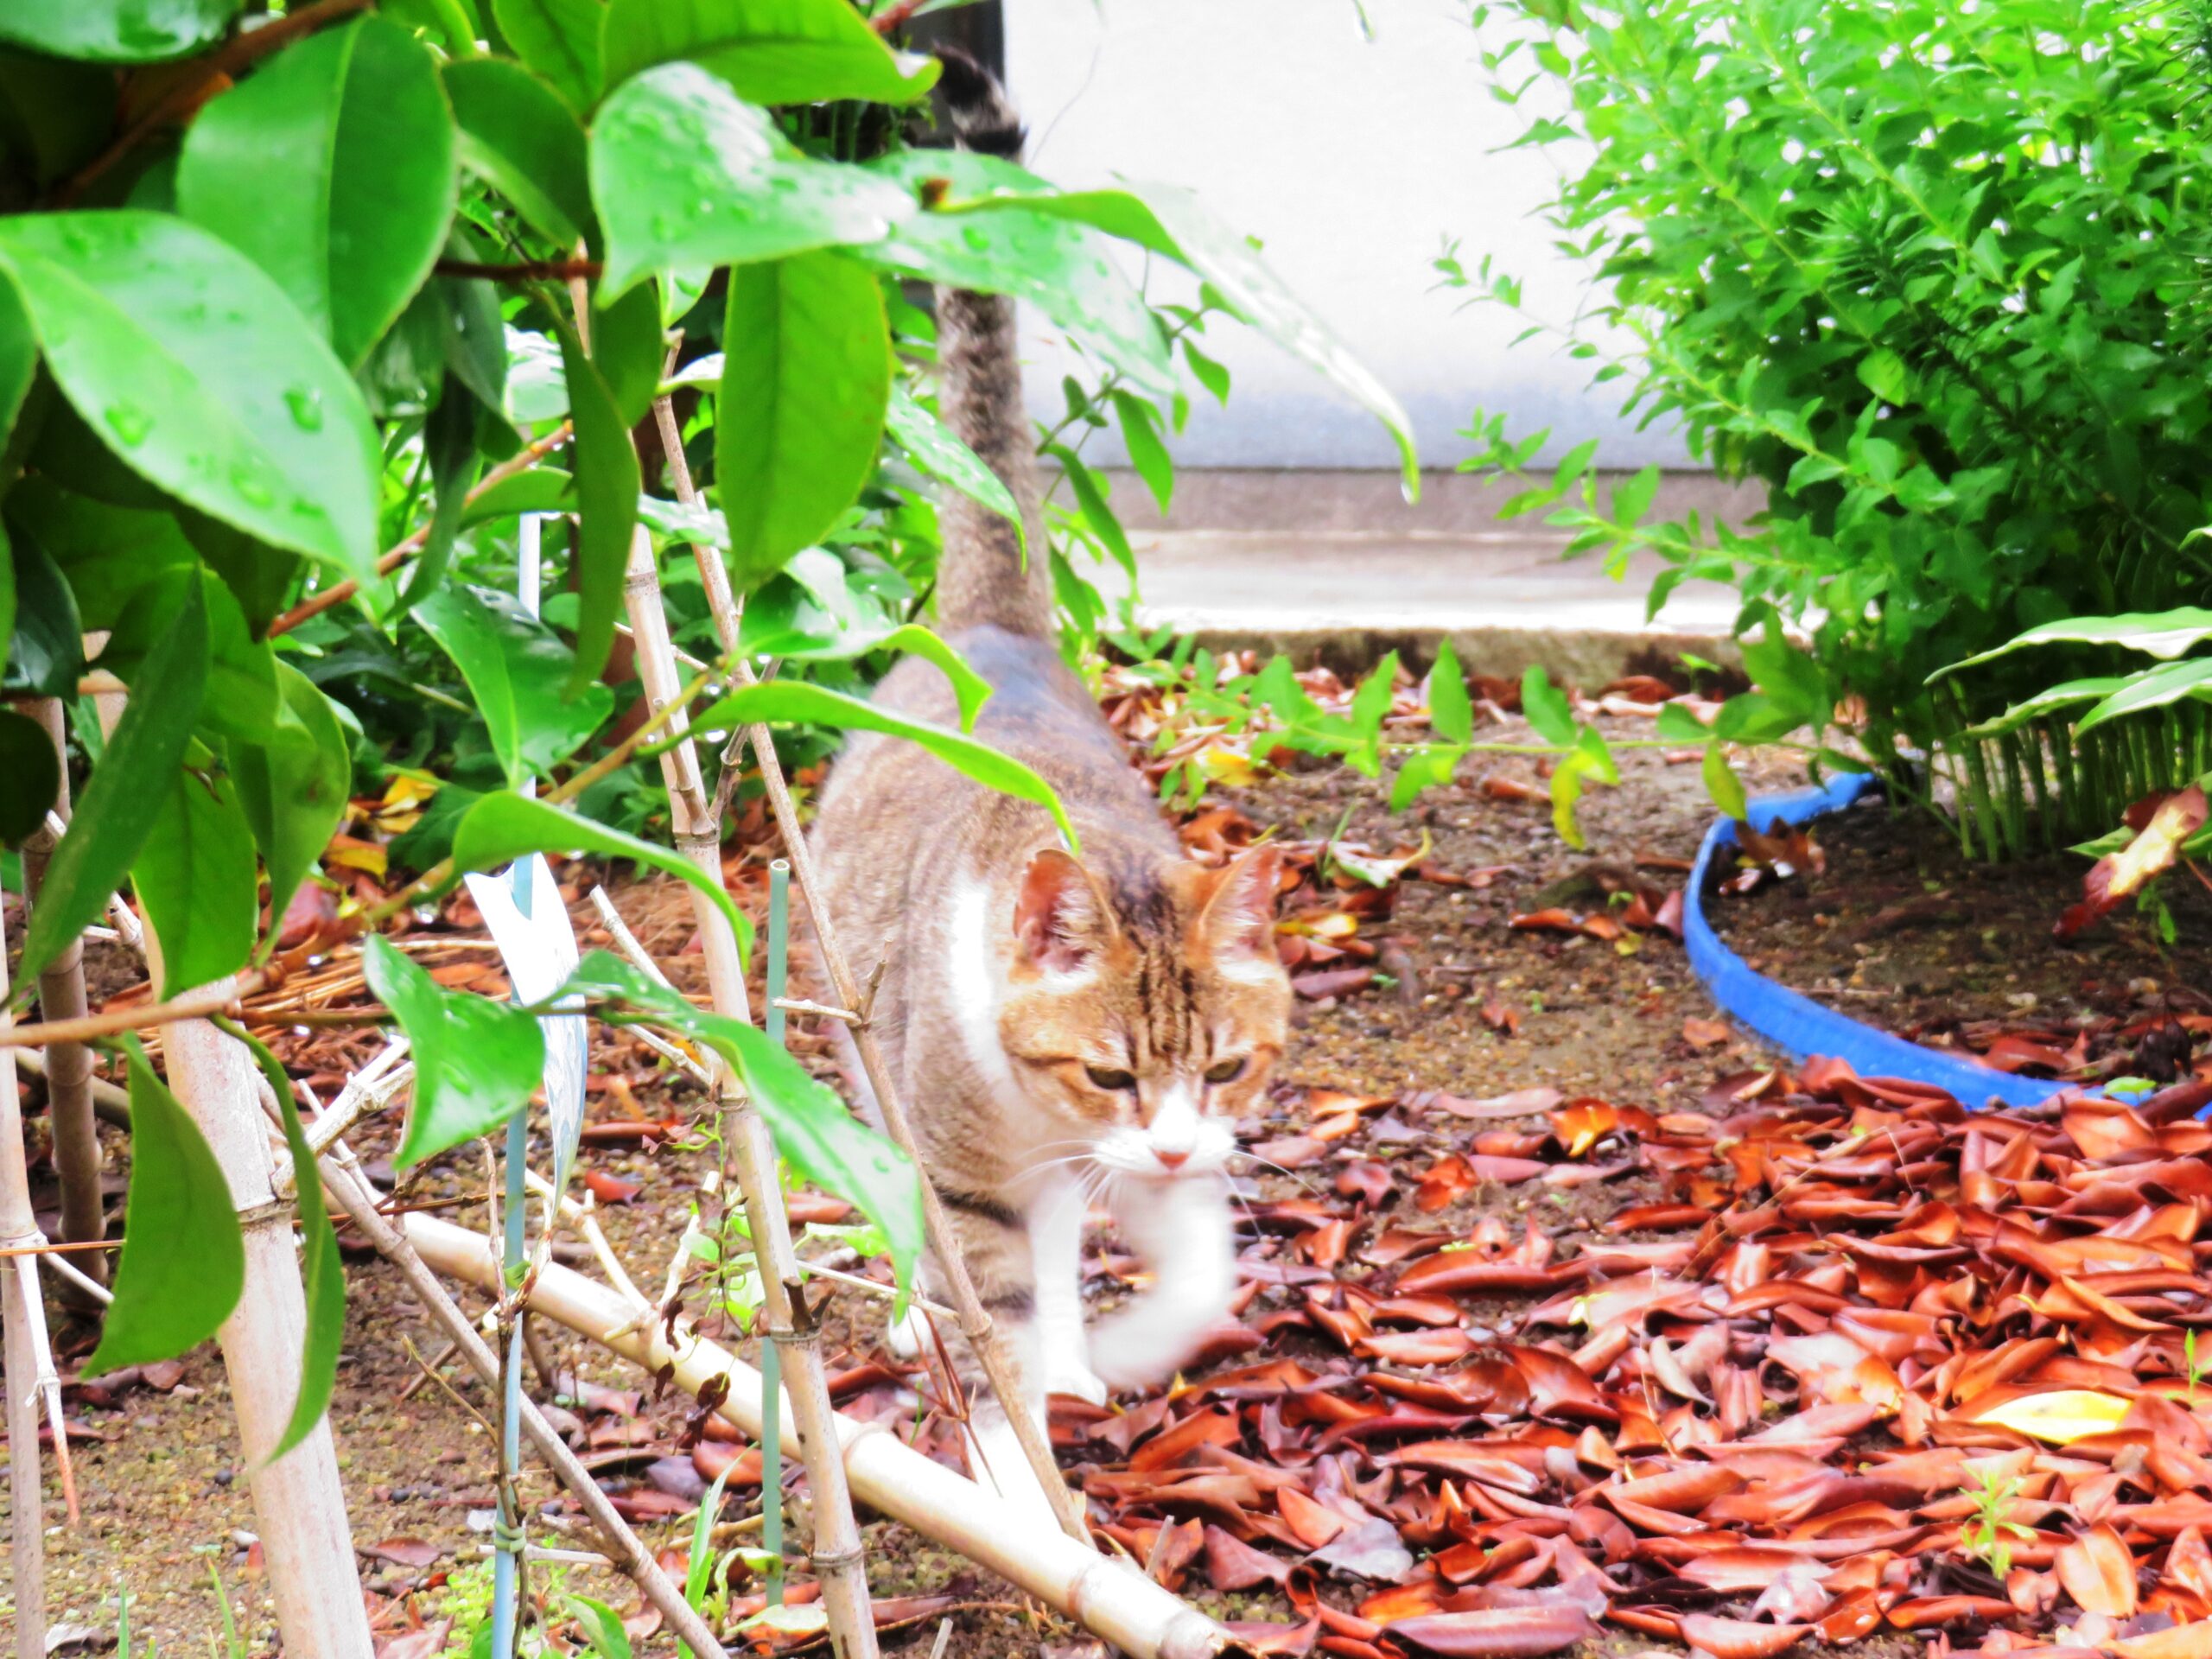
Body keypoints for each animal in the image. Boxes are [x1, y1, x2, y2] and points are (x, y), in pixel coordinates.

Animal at [809, 48, 1292, 1530]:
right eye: (1108, 1067)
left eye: (1230, 1065)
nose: (1180, 1147)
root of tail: (993, 624)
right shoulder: (976, 1174)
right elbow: (994, 1331)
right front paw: (1019, 1498)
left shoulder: (1142, 1161)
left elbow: (1188, 1267)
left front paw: (1123, 1348)